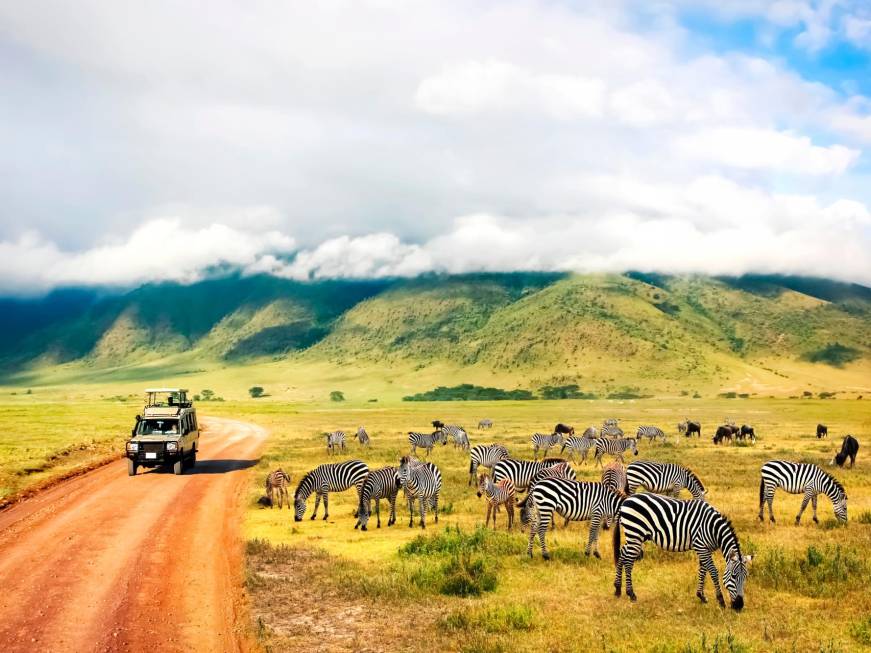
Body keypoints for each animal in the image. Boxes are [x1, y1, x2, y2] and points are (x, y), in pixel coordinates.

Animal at [608, 494, 752, 608]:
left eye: (745, 577)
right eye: (733, 577)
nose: (739, 606)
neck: (713, 528)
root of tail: (625, 501)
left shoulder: (705, 549)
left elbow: (703, 570)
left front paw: (701, 596)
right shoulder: (701, 546)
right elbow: (713, 571)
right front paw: (720, 600)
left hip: (636, 536)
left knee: (622, 553)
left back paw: (617, 589)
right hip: (635, 533)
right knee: (628, 561)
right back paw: (631, 593)